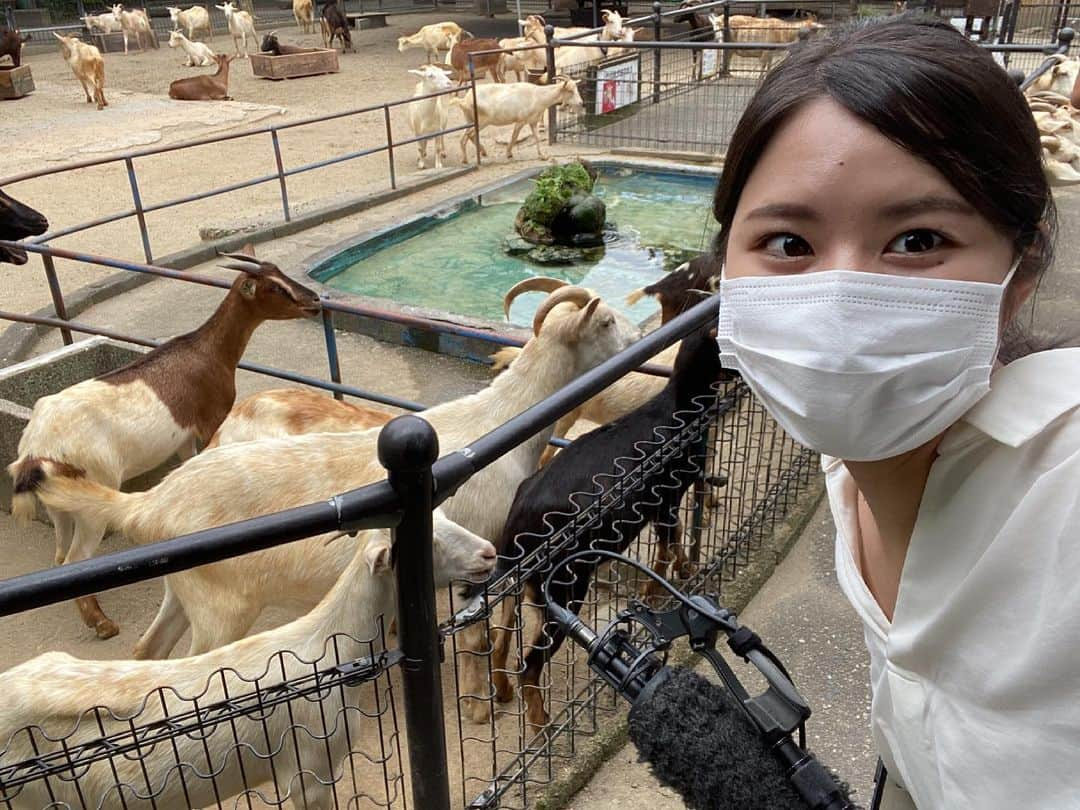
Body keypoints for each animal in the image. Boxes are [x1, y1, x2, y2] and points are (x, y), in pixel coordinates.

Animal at [7, 250, 319, 643]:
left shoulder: (184, 438)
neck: (208, 351)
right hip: (94, 492)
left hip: (57, 500)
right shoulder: (211, 418)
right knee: (77, 556)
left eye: (278, 273)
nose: (314, 301)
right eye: (274, 287)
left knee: (61, 557)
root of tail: (38, 442)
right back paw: (104, 625)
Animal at [27, 289, 639, 682]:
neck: (498, 421)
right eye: (607, 322)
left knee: (148, 649)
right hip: (221, 610)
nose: (640, 339)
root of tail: (149, 502)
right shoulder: (480, 551)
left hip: (184, 593)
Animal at [447, 76, 583, 163]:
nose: (581, 103)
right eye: (570, 90)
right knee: (468, 136)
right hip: (482, 121)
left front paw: (543, 156)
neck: (537, 96)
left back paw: (483, 152)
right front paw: (509, 153)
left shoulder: (533, 122)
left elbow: (537, 137)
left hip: (469, 120)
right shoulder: (520, 121)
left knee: (468, 135)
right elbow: (514, 136)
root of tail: (464, 101)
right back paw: (465, 159)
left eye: (576, 89)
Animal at [486, 319, 730, 734]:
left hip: (524, 585)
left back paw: (503, 690)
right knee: (529, 664)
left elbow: (670, 541)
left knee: (501, 638)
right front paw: (672, 581)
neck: (680, 407)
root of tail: (519, 521)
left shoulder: (659, 503)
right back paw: (540, 724)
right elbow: (671, 541)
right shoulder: (666, 495)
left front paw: (670, 580)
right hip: (564, 590)